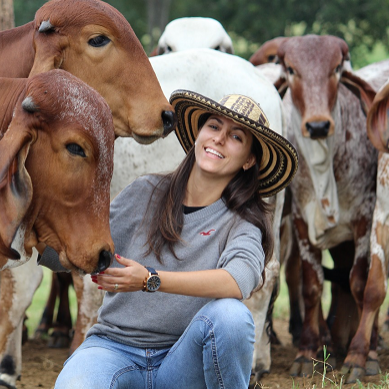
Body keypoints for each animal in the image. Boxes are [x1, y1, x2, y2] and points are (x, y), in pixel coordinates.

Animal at [274, 34, 378, 382]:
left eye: (336, 69)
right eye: (292, 70)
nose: (318, 126)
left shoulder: (365, 219)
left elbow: (361, 283)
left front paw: (361, 356)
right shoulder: (301, 223)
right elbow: (311, 287)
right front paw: (308, 352)